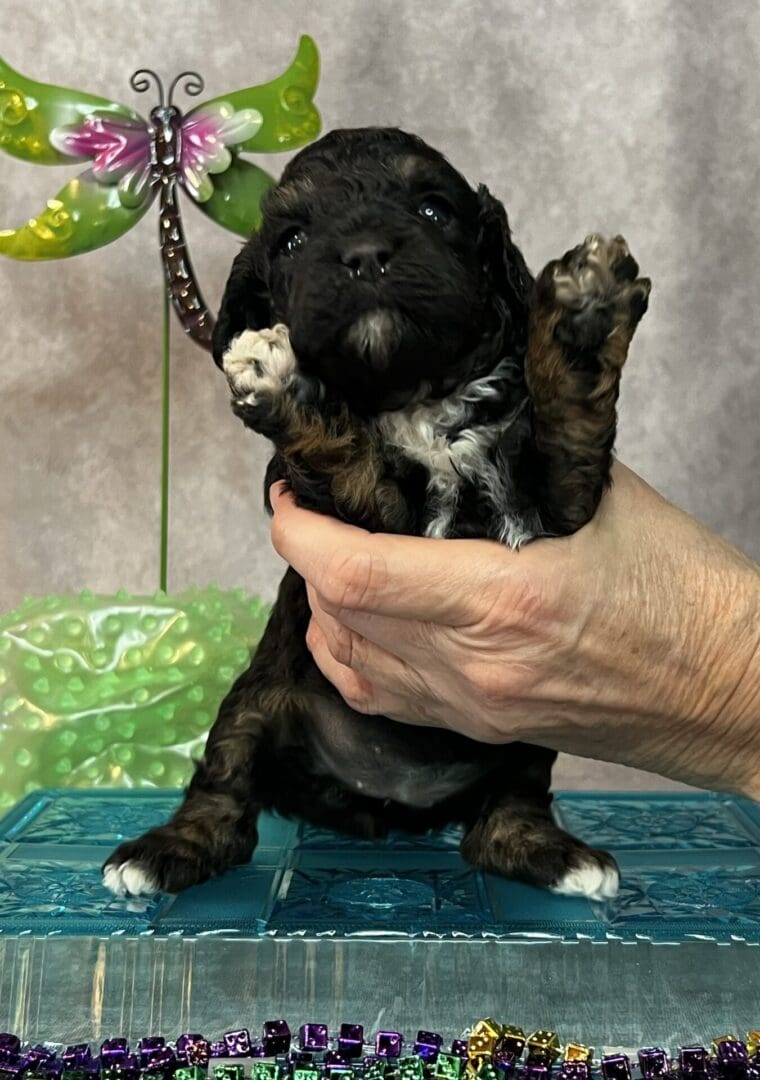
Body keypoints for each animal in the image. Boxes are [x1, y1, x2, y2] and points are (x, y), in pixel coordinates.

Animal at [103, 126, 652, 902]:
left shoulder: (554, 504)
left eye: (433, 210)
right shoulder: (357, 519)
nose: (364, 254)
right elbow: (349, 457)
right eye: (293, 239)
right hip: (254, 700)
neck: (417, 398)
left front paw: (584, 319)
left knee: (505, 812)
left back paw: (552, 851)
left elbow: (567, 425)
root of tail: (387, 801)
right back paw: (163, 850)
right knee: (223, 791)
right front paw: (282, 379)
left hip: (529, 726)